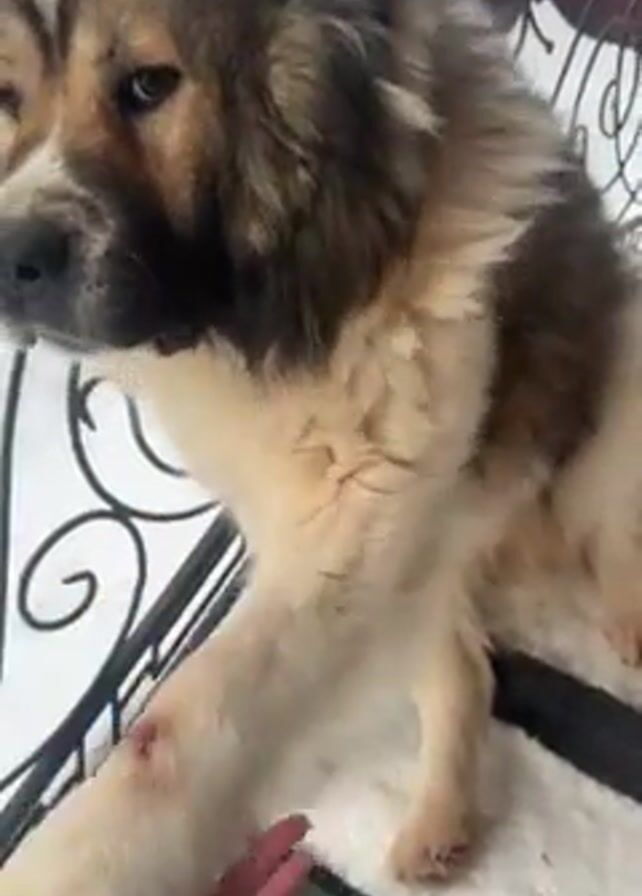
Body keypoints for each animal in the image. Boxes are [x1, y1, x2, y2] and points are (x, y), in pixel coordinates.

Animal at [0, 0, 641, 892]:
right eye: (7, 98)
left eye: (148, 86)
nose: (12, 256)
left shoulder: (361, 521)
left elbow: (177, 730)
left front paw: (87, 858)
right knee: (464, 669)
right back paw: (438, 824)